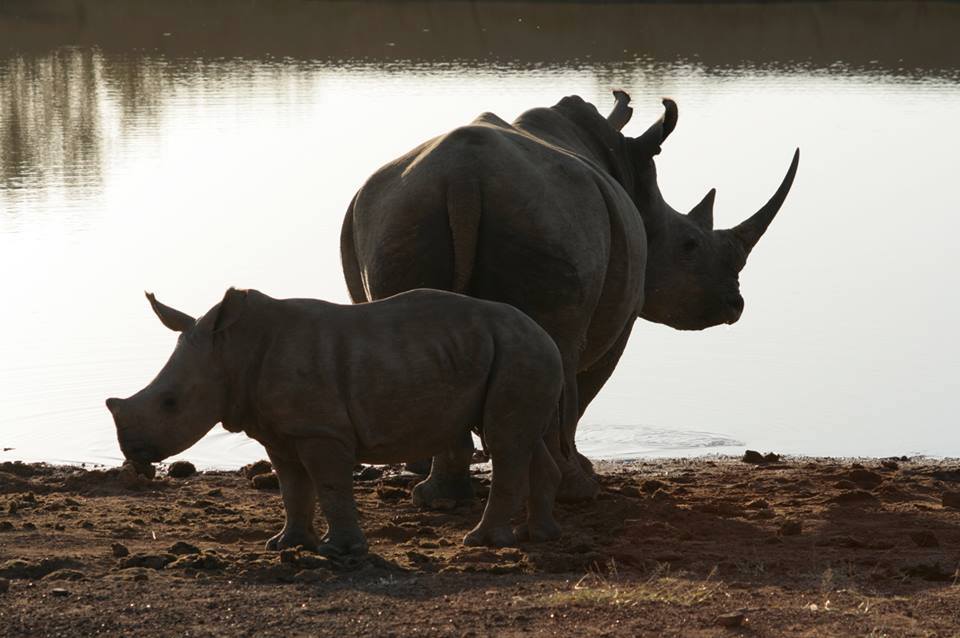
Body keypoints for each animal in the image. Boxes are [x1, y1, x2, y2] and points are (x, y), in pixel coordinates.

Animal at [105, 288, 564, 553]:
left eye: (170, 403)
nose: (132, 453)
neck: (232, 351)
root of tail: (543, 331)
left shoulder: (320, 430)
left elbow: (329, 486)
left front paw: (339, 552)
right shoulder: (281, 430)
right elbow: (292, 487)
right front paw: (284, 545)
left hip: (519, 351)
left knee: (505, 443)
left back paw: (481, 542)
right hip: (513, 351)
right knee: (524, 440)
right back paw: (539, 537)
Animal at [341, 90, 798, 502]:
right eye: (690, 245)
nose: (734, 304)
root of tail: (463, 179)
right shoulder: (624, 314)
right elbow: (585, 387)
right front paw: (584, 473)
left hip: (403, 214)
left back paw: (438, 497)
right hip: (546, 222)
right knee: (557, 350)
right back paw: (572, 491)